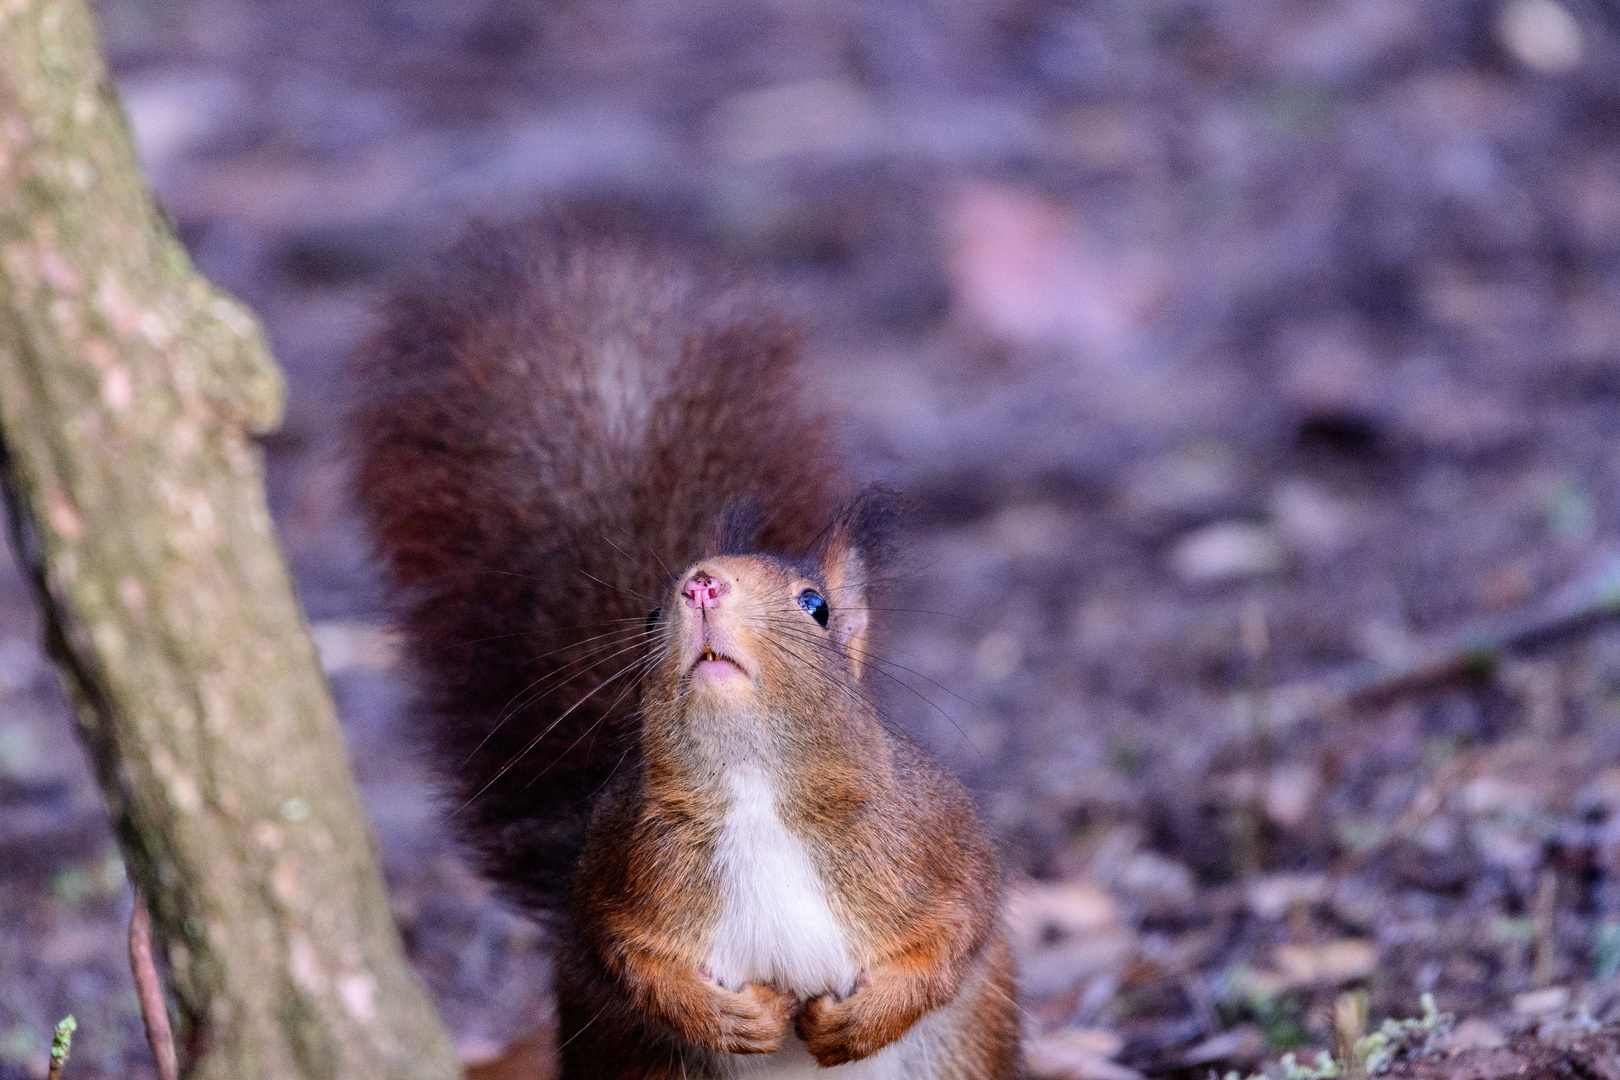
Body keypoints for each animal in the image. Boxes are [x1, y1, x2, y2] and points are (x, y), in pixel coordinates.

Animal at [348, 223, 1017, 1075]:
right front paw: (731, 1019)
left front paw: (861, 1019)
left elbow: (963, 924)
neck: (754, 787)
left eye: (816, 606)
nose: (701, 586)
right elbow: (627, 957)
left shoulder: (933, 838)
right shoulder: (619, 870)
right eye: (646, 616)